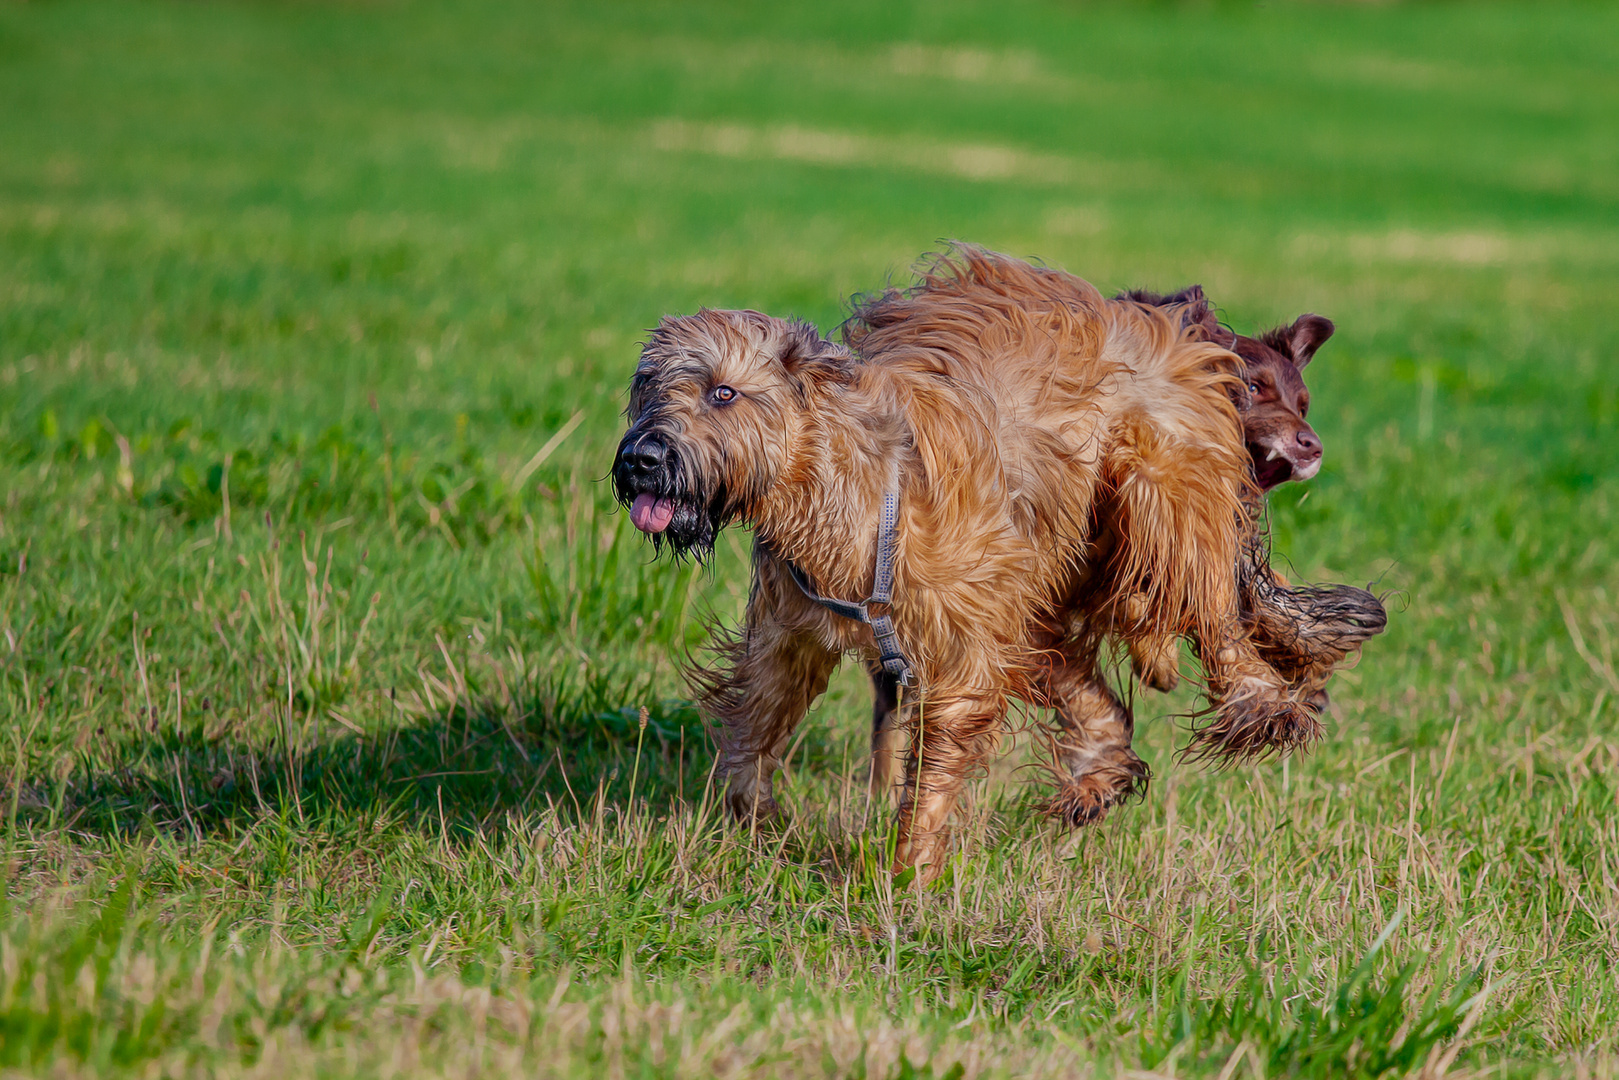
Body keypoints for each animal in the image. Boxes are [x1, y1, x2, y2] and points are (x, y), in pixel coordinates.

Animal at [611, 247, 1308, 880]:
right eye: (647, 387)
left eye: (723, 392)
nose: (641, 459)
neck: (856, 491)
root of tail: (1162, 316)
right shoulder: (790, 633)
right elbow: (756, 726)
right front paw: (757, 823)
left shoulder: (960, 646)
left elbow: (938, 755)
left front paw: (905, 875)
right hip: (1037, 583)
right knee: (1083, 681)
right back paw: (1098, 772)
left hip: (1156, 488)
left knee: (1209, 603)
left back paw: (1260, 705)